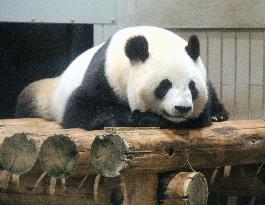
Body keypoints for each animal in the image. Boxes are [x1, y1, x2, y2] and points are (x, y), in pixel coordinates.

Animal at [15, 25, 228, 130]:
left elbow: (204, 107)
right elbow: (80, 109)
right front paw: (145, 118)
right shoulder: (104, 76)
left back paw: (218, 114)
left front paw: (208, 115)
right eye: (164, 85)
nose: (182, 108)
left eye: (192, 87)